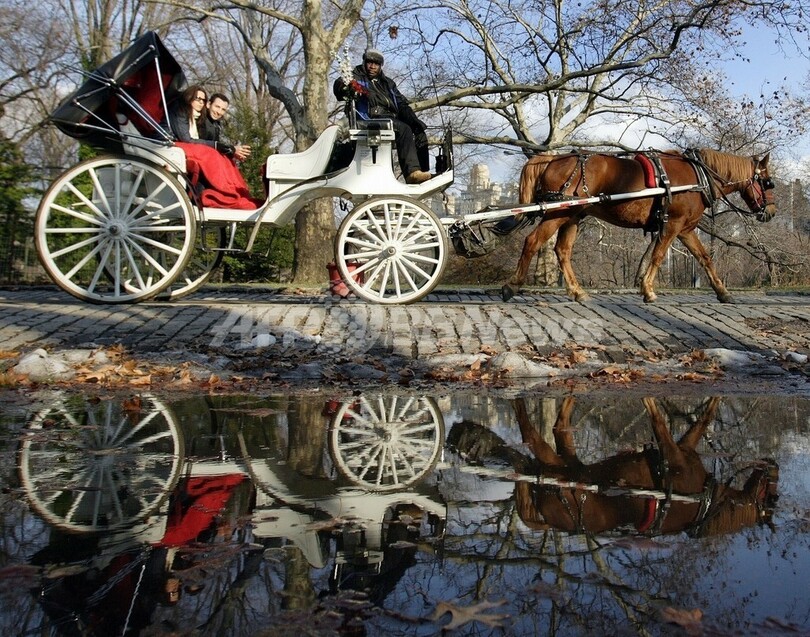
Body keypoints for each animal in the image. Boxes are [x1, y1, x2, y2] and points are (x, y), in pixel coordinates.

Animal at [448, 398, 776, 536]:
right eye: (770, 495)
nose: (772, 463)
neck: (704, 503)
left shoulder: (680, 449)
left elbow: (700, 418)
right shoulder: (675, 454)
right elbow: (670, 422)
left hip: (560, 462)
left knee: (550, 433)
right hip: (557, 465)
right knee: (532, 432)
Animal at [502, 152, 772, 306]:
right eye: (768, 182)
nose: (770, 212)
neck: (699, 175)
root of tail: (550, 159)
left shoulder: (686, 229)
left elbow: (704, 258)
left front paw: (723, 292)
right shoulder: (673, 224)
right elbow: (658, 255)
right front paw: (648, 291)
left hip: (572, 215)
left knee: (562, 251)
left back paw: (577, 292)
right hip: (560, 213)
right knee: (532, 241)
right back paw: (511, 286)